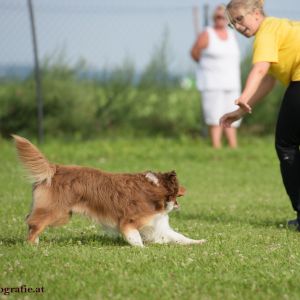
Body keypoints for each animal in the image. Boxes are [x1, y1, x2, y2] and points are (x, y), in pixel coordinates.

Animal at [12, 135, 205, 246]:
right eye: (180, 187)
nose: (187, 189)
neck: (155, 188)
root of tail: (54, 169)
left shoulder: (156, 225)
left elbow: (179, 237)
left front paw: (199, 241)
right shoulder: (129, 221)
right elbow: (135, 237)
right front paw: (142, 249)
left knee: (32, 222)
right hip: (57, 212)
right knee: (34, 223)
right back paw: (31, 246)